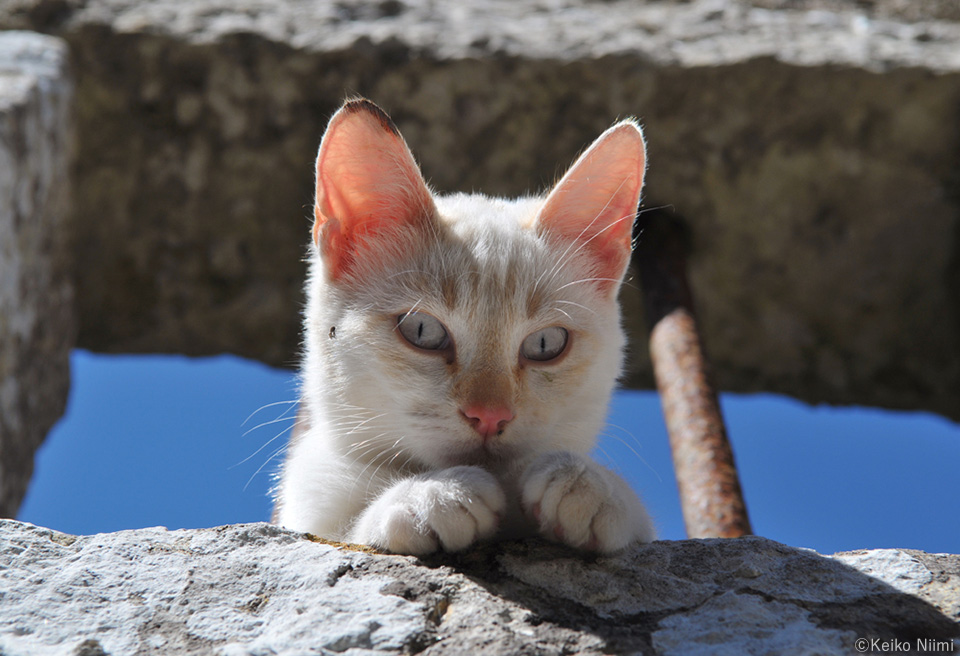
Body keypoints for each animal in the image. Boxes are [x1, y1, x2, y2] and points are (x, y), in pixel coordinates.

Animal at [274, 100, 656, 556]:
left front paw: (587, 483)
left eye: (546, 343)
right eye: (422, 330)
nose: (490, 416)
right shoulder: (312, 500)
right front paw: (433, 494)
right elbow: (344, 531)